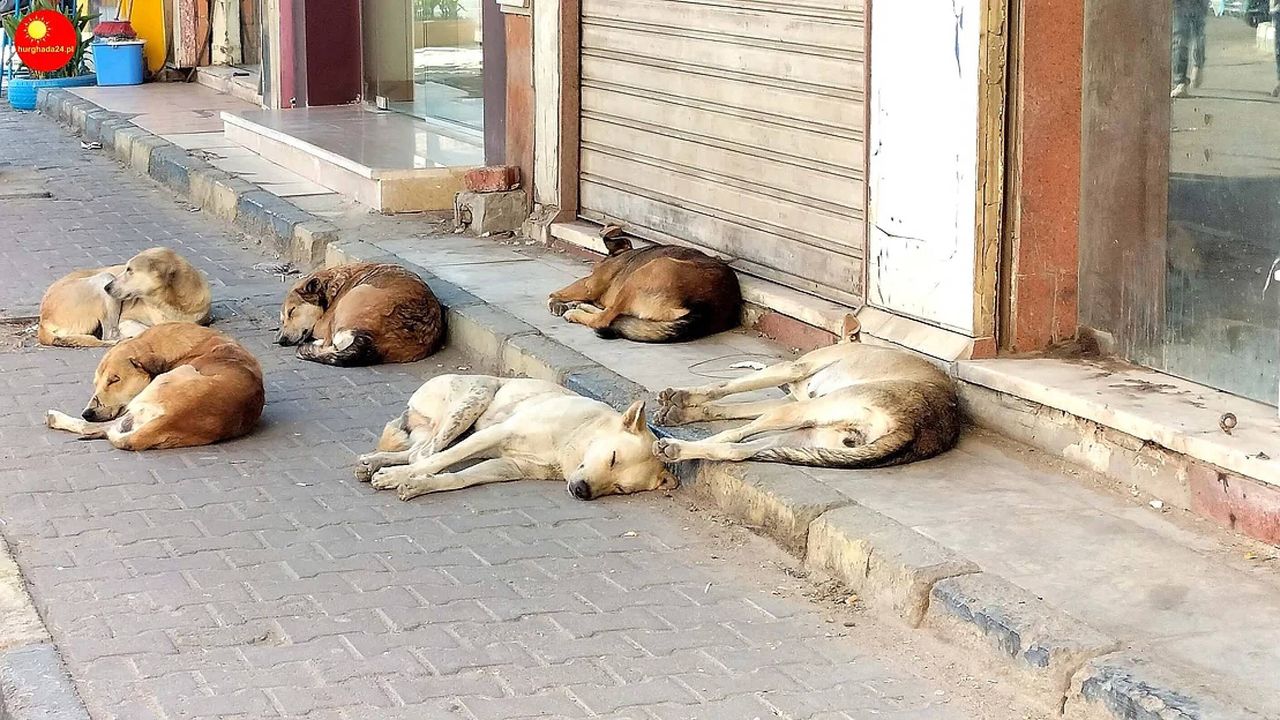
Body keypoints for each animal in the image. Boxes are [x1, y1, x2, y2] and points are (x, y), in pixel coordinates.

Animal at [38, 245, 212, 348]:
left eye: (130, 270)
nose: (107, 288)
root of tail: (43, 319)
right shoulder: (126, 319)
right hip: (105, 276)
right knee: (109, 335)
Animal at [46, 320, 264, 445]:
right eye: (95, 383)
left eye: (115, 380)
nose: (87, 413)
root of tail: (173, 418)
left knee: (96, 427)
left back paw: (56, 418)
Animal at [275, 262, 445, 363]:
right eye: (282, 320)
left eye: (291, 311)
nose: (281, 340)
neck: (332, 284)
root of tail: (375, 340)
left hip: (352, 298)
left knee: (330, 342)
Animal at [358, 376, 680, 499]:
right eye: (613, 459)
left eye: (621, 489)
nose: (582, 492)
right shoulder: (497, 432)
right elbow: (439, 462)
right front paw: (400, 477)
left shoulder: (508, 467)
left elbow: (459, 477)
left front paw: (419, 484)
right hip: (471, 404)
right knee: (424, 453)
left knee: (418, 450)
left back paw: (372, 462)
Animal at [547, 226, 747, 345]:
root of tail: (707, 307)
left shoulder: (591, 284)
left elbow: (560, 292)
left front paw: (556, 301)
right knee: (612, 314)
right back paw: (583, 307)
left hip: (644, 274)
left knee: (603, 319)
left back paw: (576, 313)